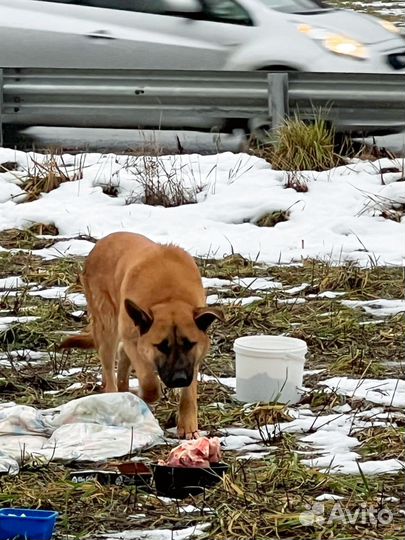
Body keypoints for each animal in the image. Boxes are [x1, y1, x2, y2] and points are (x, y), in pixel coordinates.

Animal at [60, 232, 221, 438]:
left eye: (189, 344)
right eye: (161, 346)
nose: (179, 379)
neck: (169, 297)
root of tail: (100, 244)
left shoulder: (193, 359)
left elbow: (189, 393)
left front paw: (188, 426)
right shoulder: (134, 342)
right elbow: (150, 385)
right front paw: (141, 396)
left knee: (120, 360)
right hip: (108, 327)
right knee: (110, 370)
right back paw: (115, 395)